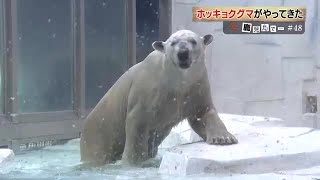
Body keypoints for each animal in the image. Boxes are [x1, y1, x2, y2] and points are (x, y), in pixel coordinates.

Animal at [80, 29, 238, 166]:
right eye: (173, 43)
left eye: (193, 41)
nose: (183, 53)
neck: (176, 82)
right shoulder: (147, 90)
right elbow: (137, 122)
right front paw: (134, 161)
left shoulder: (196, 86)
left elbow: (203, 113)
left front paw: (223, 138)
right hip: (98, 135)